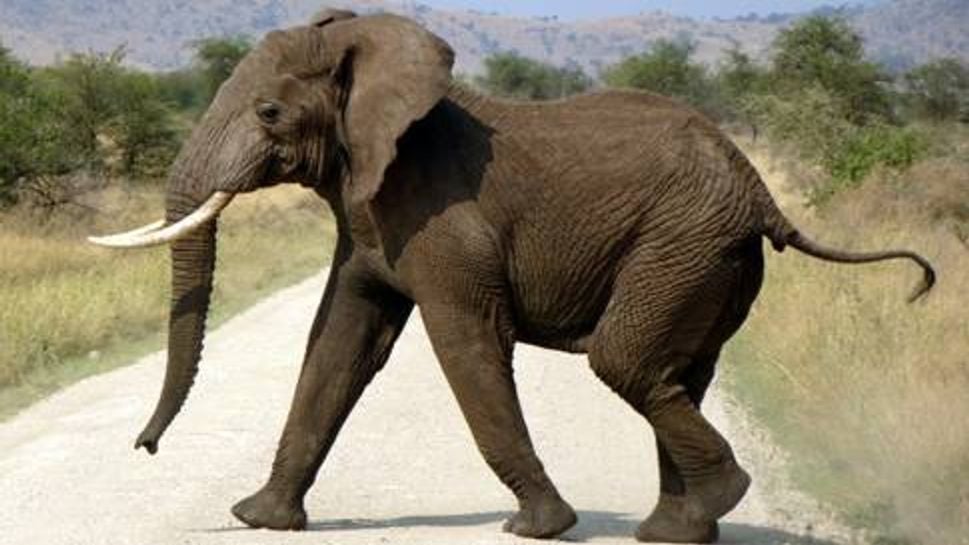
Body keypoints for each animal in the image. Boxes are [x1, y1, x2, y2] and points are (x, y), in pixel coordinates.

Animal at [91, 9, 936, 544]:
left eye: (268, 112)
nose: (144, 447)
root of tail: (759, 189)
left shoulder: (441, 222)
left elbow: (466, 345)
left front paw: (540, 527)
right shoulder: (368, 219)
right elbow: (339, 346)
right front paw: (257, 518)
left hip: (683, 245)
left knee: (626, 362)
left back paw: (710, 502)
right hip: (707, 258)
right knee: (676, 373)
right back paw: (677, 528)